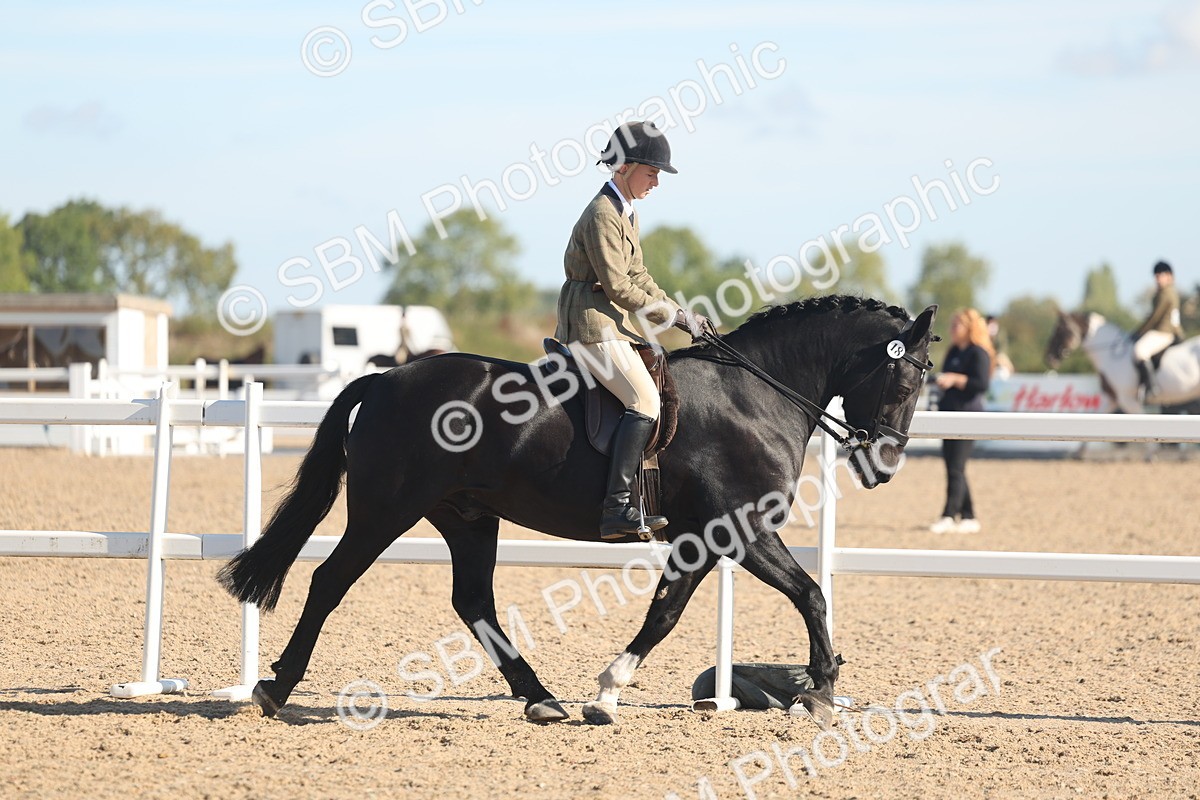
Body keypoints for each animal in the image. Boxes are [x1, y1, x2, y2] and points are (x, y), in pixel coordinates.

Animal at [218, 295, 937, 729]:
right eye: (908, 378)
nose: (884, 465)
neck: (753, 394)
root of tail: (388, 379)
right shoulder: (739, 531)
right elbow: (808, 594)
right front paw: (817, 692)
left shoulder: (703, 540)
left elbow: (667, 612)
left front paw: (606, 691)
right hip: (385, 511)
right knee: (328, 581)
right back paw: (274, 689)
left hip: (467, 517)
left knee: (472, 601)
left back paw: (541, 700)